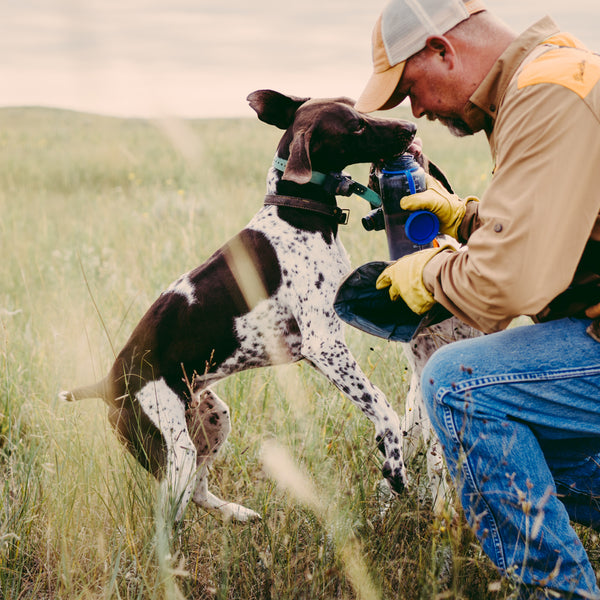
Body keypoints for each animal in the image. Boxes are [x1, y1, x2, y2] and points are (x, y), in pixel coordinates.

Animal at [57, 88, 422, 520]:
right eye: (356, 126)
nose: (411, 128)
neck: (295, 213)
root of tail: (107, 384)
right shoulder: (324, 345)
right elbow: (383, 407)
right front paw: (394, 464)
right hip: (174, 451)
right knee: (167, 519)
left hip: (213, 419)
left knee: (199, 492)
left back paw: (236, 513)